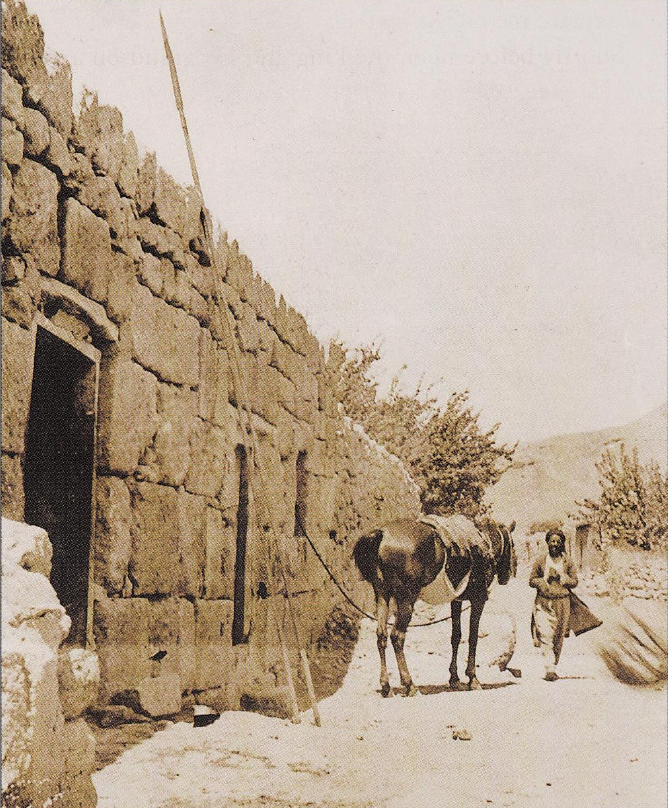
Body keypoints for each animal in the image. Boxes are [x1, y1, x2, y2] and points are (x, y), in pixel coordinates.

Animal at [352, 516, 520, 696]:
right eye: (512, 544)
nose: (508, 575)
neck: (485, 543)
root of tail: (381, 534)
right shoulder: (478, 599)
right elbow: (473, 637)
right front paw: (473, 679)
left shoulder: (456, 600)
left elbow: (456, 636)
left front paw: (454, 678)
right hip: (406, 599)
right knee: (397, 636)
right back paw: (410, 684)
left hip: (382, 595)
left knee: (381, 635)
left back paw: (386, 686)